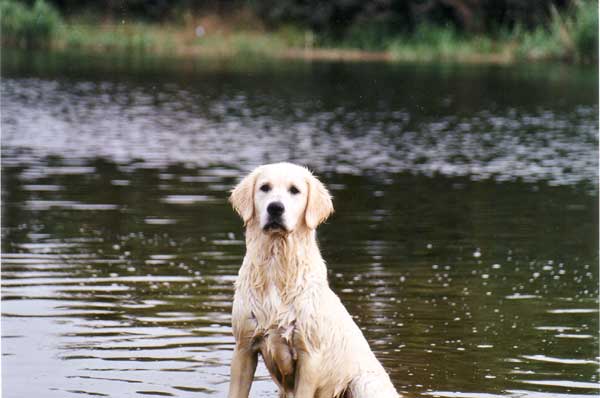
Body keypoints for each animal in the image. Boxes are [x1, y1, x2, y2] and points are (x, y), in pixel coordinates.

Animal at [227, 162, 400, 398]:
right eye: (264, 187)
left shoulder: (309, 356)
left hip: (364, 383)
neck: (277, 266)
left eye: (294, 190)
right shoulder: (244, 348)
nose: (275, 208)